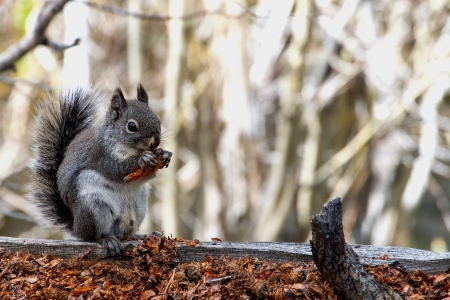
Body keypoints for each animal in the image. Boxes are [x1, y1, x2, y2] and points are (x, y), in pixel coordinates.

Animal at [28, 84, 172, 255]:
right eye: (131, 126)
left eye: (157, 119)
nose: (155, 142)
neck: (131, 148)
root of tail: (77, 227)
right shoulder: (101, 155)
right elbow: (117, 170)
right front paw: (143, 158)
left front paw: (164, 154)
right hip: (94, 207)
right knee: (92, 237)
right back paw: (106, 240)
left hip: (139, 208)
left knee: (125, 234)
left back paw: (141, 236)